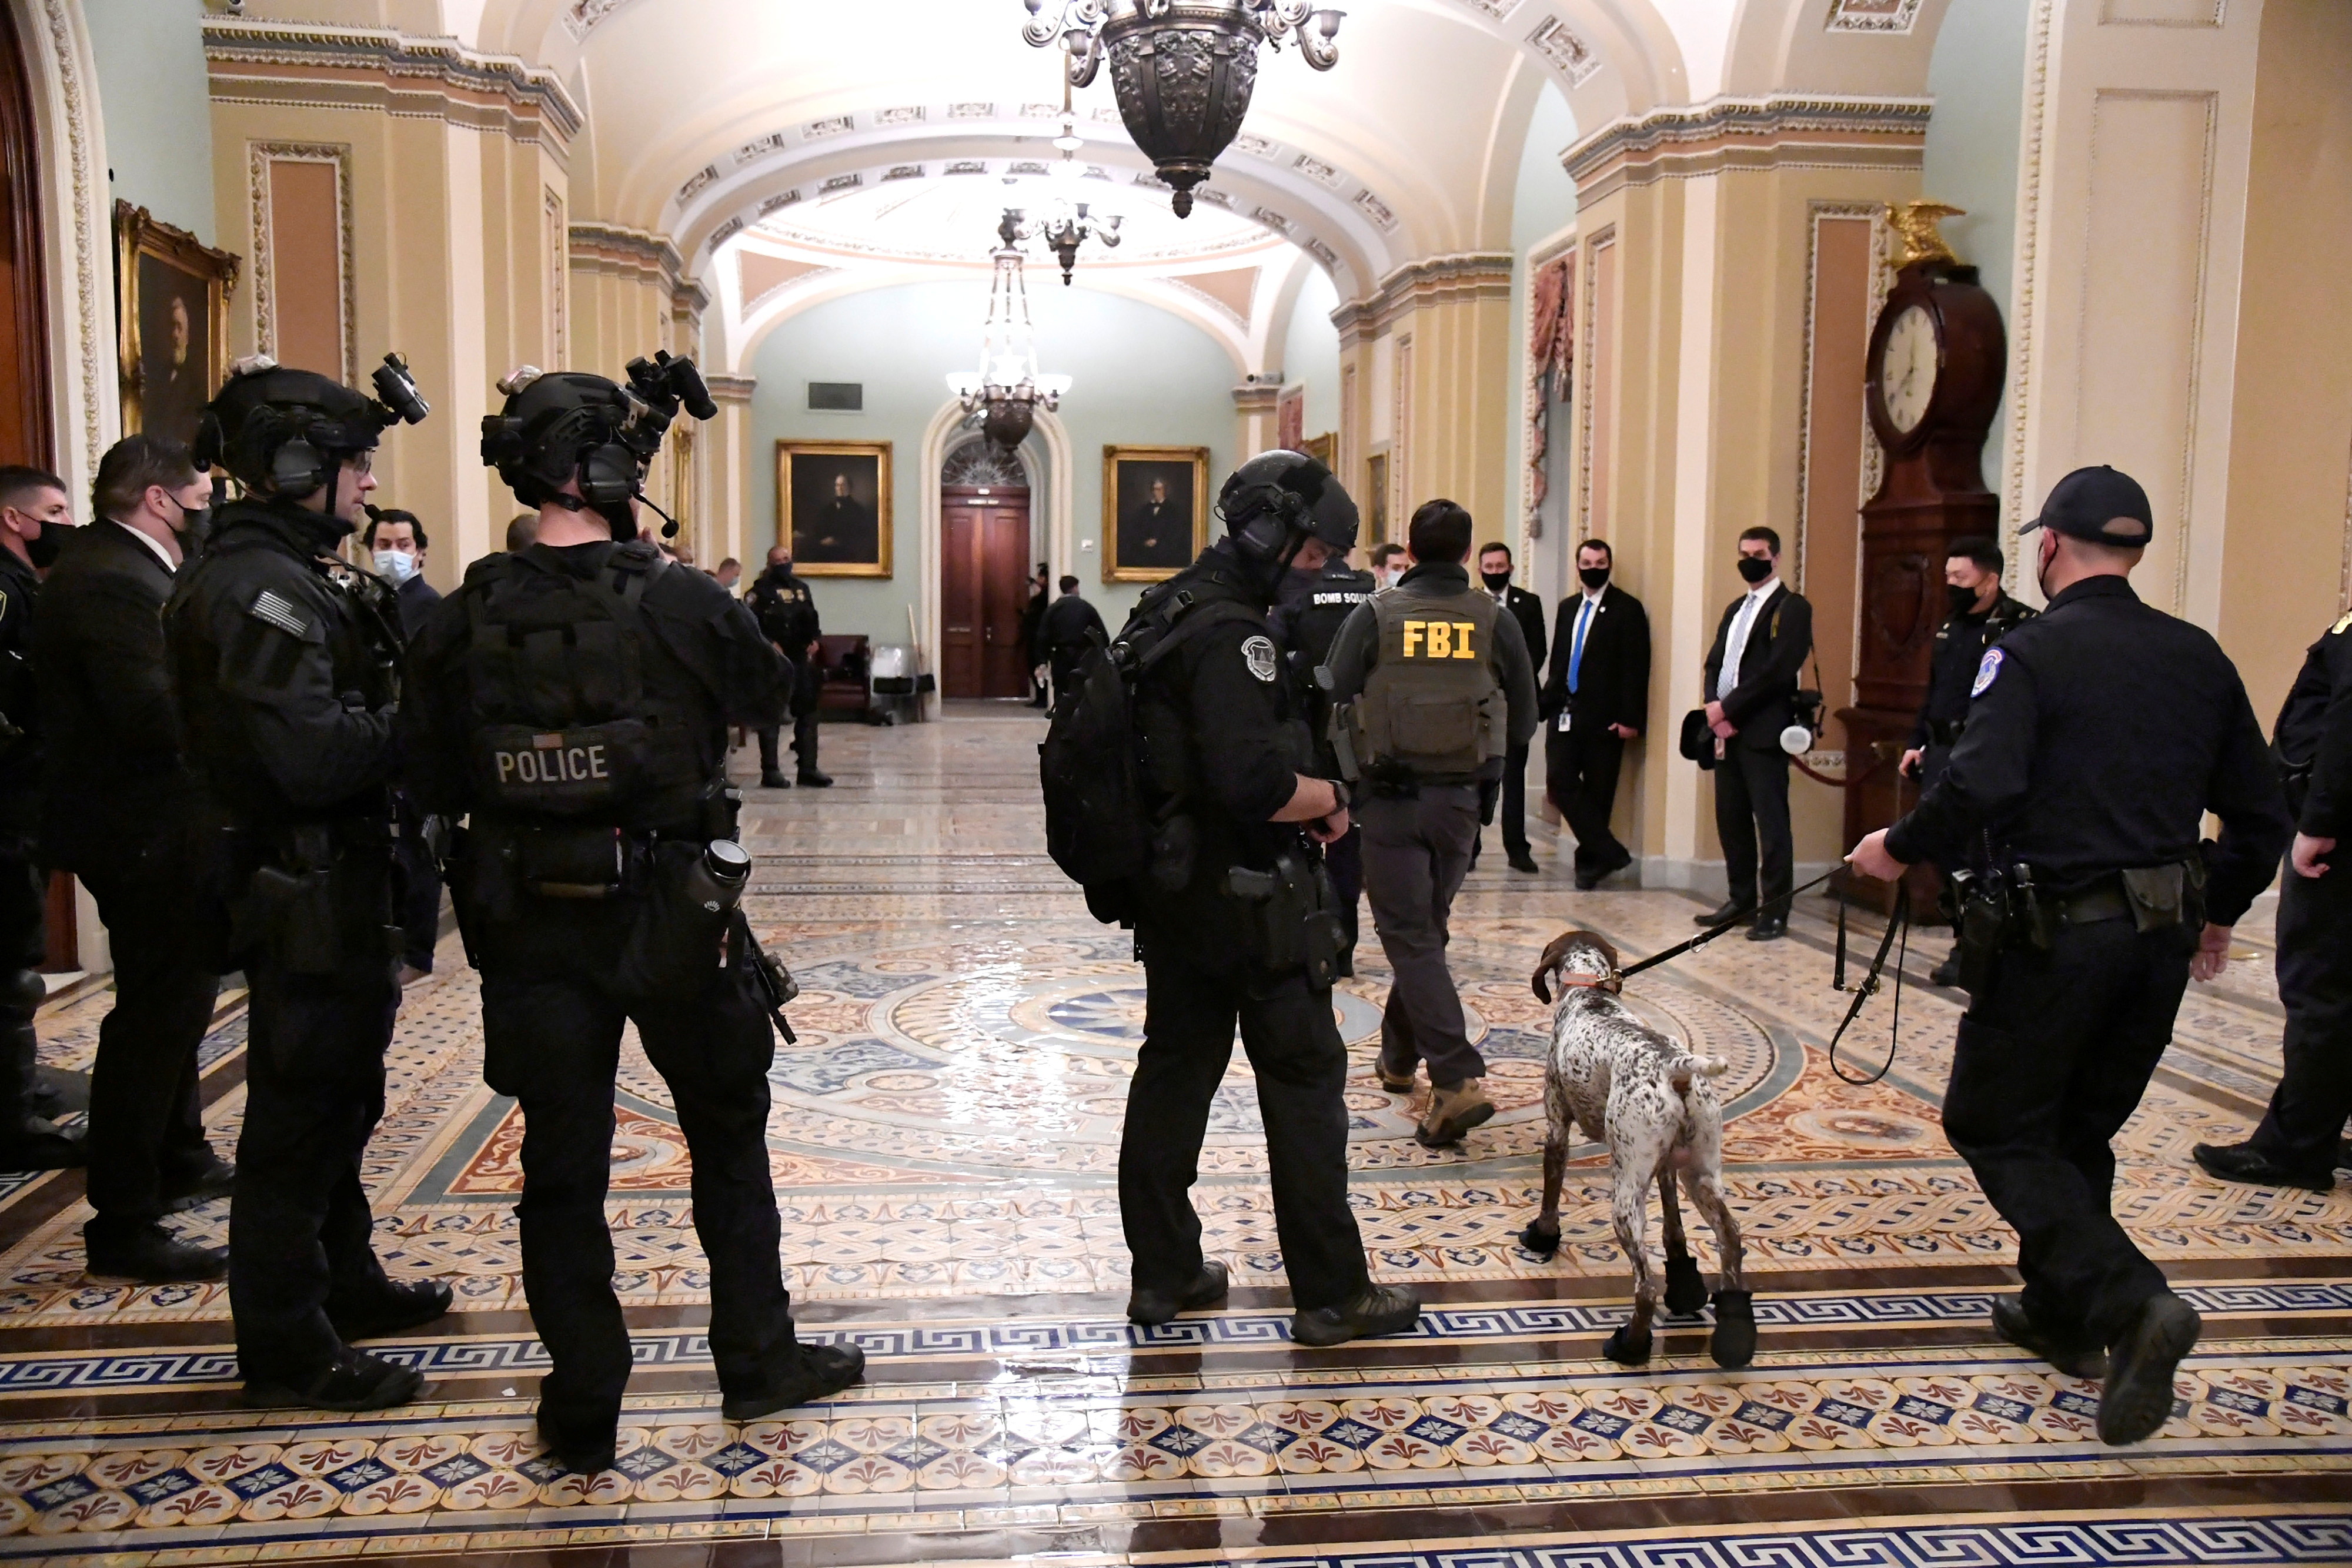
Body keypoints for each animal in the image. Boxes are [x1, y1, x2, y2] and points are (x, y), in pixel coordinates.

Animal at [1524, 926, 1750, 1363]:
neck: (1590, 994)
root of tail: (1677, 1068)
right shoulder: (1666, 1167)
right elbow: (1675, 1232)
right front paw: (1686, 1286)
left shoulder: (1557, 1128)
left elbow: (1550, 1195)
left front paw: (1542, 1234)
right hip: (1700, 1174)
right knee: (1730, 1239)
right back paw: (1734, 1336)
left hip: (1625, 1197)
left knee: (1645, 1287)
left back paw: (1629, 1344)